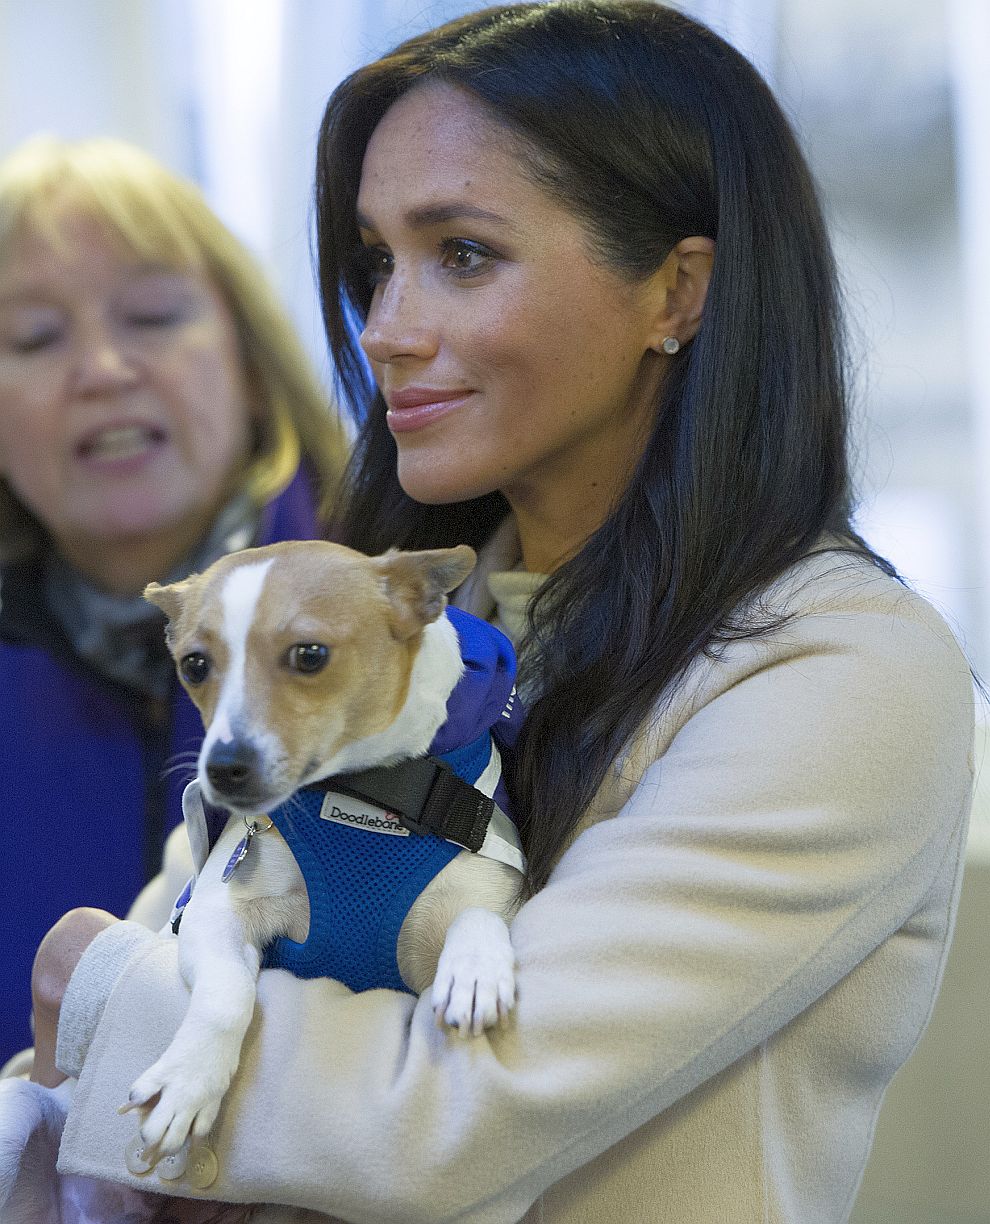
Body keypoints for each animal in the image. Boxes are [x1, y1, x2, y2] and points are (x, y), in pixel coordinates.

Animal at [118, 541, 526, 1160]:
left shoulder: (485, 888)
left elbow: (477, 914)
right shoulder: (215, 913)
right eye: (194, 666)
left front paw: (474, 969)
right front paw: (188, 1080)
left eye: (310, 655)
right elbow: (226, 994)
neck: (367, 795)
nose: (222, 767)